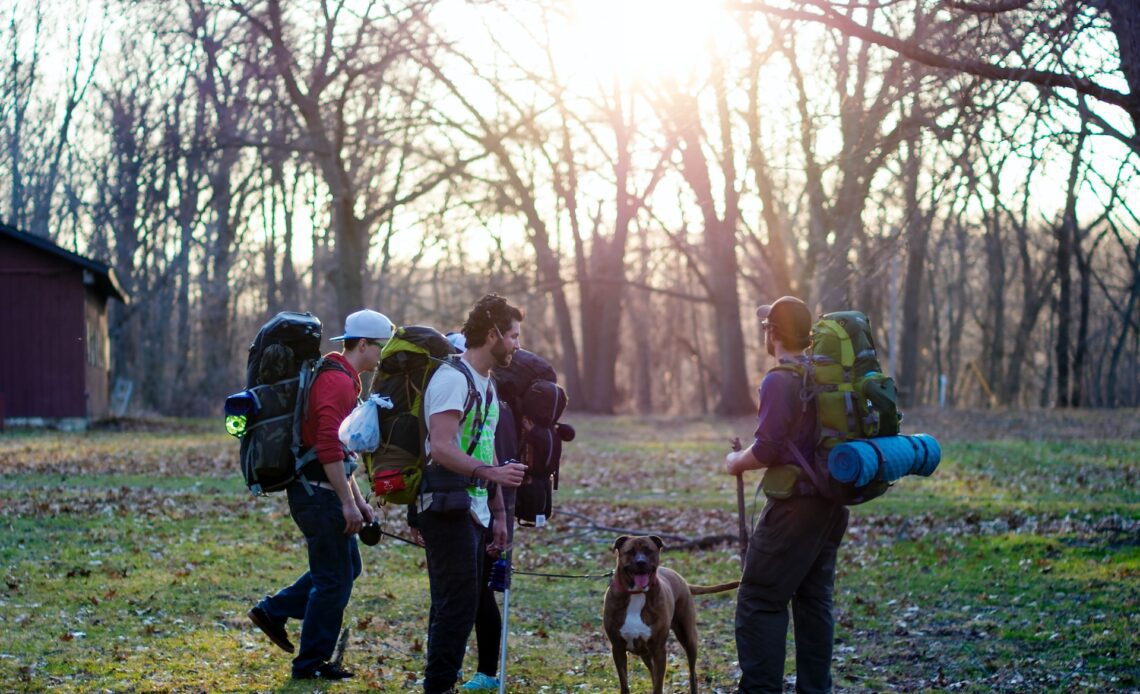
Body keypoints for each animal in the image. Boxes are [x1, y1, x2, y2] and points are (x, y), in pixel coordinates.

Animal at [606, 535, 738, 692]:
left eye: (649, 551)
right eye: (630, 551)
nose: (641, 562)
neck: (636, 593)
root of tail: (682, 579)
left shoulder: (659, 650)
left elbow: (658, 685)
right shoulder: (618, 649)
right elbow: (625, 683)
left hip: (688, 637)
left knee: (692, 673)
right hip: (646, 652)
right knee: (652, 671)